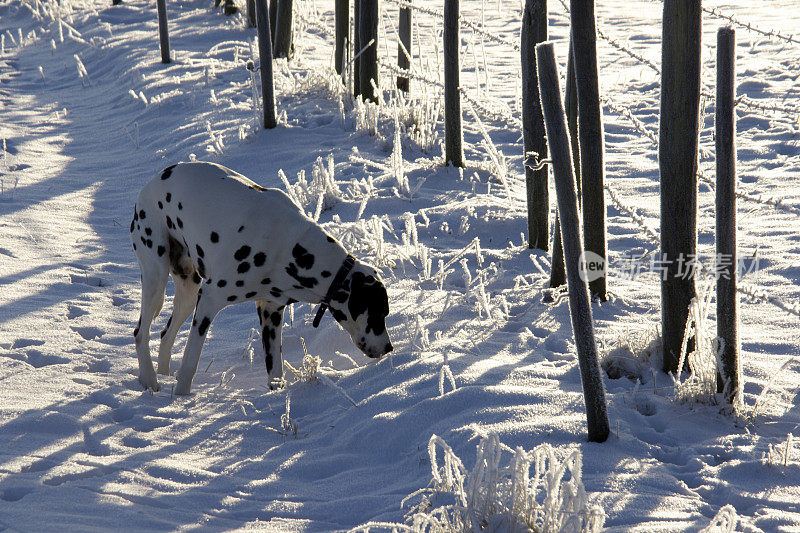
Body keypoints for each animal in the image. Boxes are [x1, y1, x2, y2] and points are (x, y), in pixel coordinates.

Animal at [131, 160, 394, 392]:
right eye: (379, 312)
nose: (389, 348)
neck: (291, 247)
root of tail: (151, 183)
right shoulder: (209, 300)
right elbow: (190, 362)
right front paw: (181, 396)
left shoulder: (271, 311)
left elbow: (275, 370)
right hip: (156, 278)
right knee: (141, 333)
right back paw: (150, 381)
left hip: (188, 290)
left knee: (165, 334)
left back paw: (162, 374)